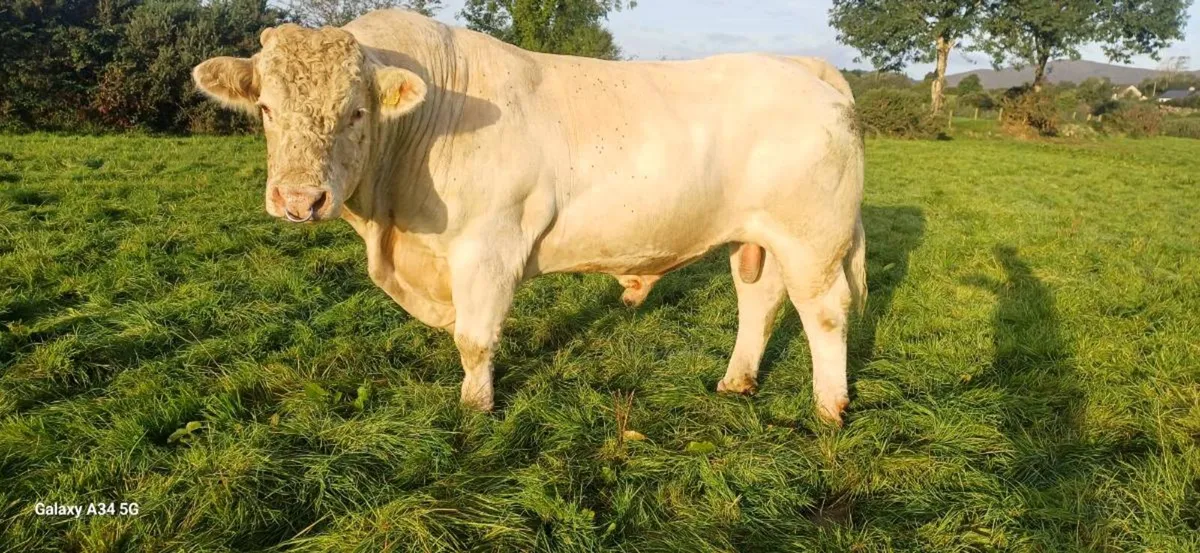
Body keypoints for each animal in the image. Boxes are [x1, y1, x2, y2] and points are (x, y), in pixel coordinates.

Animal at [191, 10, 866, 423]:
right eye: (266, 108)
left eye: (357, 111)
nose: (299, 200)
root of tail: (803, 66)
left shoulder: (487, 246)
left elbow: (473, 337)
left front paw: (474, 409)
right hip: (759, 237)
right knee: (761, 302)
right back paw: (737, 381)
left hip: (811, 240)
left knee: (825, 313)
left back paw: (829, 407)